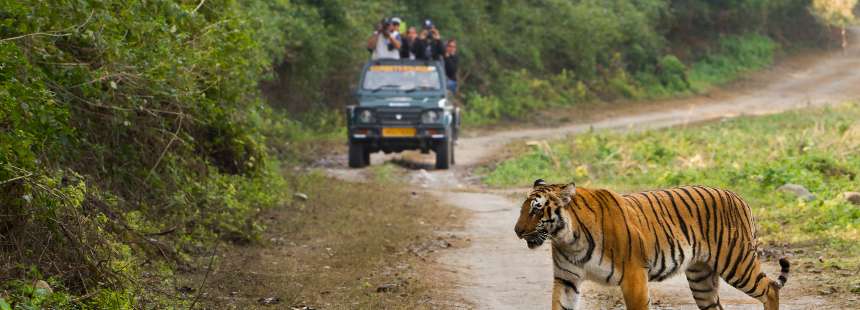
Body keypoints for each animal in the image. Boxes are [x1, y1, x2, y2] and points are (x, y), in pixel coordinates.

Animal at [512, 179, 788, 310]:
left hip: (736, 262)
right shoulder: (566, 279)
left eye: (536, 209)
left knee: (770, 289)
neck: (568, 238)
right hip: (701, 278)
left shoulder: (633, 275)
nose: (517, 231)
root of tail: (738, 196)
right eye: (523, 209)